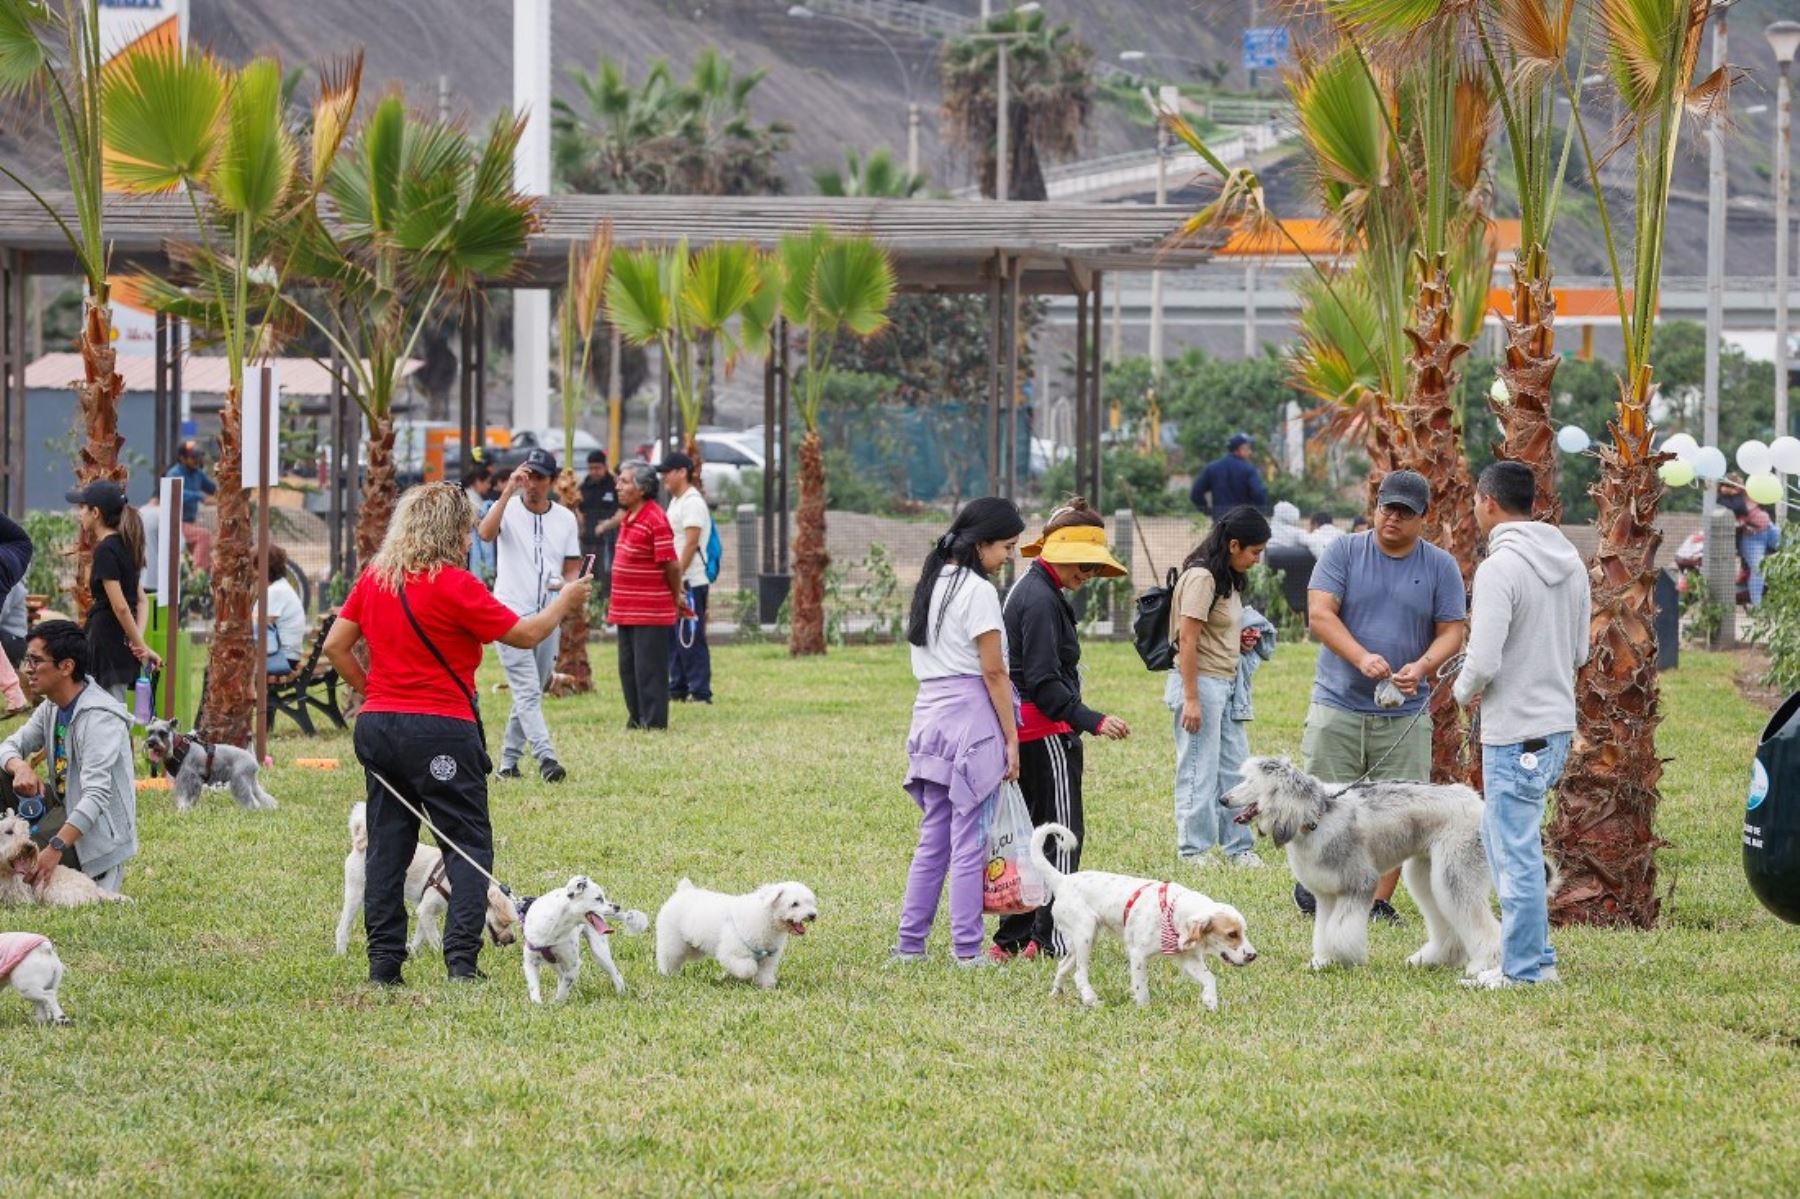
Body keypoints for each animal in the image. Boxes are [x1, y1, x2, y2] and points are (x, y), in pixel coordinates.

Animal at [0, 806, 130, 900]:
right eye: (8, 831)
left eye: (26, 834)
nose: (29, 847)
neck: (5, 873)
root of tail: (96, 889)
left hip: (54, 893)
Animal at [145, 712, 277, 806]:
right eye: (150, 732)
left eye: (163, 733)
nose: (150, 743)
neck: (177, 747)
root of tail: (251, 756)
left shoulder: (187, 779)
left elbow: (184, 798)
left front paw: (182, 811)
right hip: (251, 782)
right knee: (264, 797)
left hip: (240, 782)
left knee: (252, 801)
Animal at [334, 802, 518, 950]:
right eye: (504, 922)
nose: (513, 940)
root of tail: (361, 846)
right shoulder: (426, 909)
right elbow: (435, 938)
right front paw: (439, 954)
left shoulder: (425, 911)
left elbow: (420, 935)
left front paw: (413, 952)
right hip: (356, 894)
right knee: (342, 929)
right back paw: (342, 954)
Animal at [522, 867, 648, 1000]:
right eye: (598, 898)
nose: (617, 907)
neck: (554, 929)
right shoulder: (530, 962)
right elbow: (535, 990)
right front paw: (539, 1004)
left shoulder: (573, 965)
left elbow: (562, 990)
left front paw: (557, 1003)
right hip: (555, 963)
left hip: (600, 952)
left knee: (616, 974)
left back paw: (621, 994)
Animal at [1216, 756, 1497, 972]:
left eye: (1251, 782)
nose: (1222, 799)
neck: (1317, 816)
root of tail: (1475, 800)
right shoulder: (1327, 894)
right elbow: (1324, 931)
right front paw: (1323, 961)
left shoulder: (1360, 883)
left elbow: (1341, 931)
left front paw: (1344, 959)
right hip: (1425, 874)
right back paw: (1431, 960)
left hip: (1456, 870)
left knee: (1481, 923)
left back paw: (1485, 965)